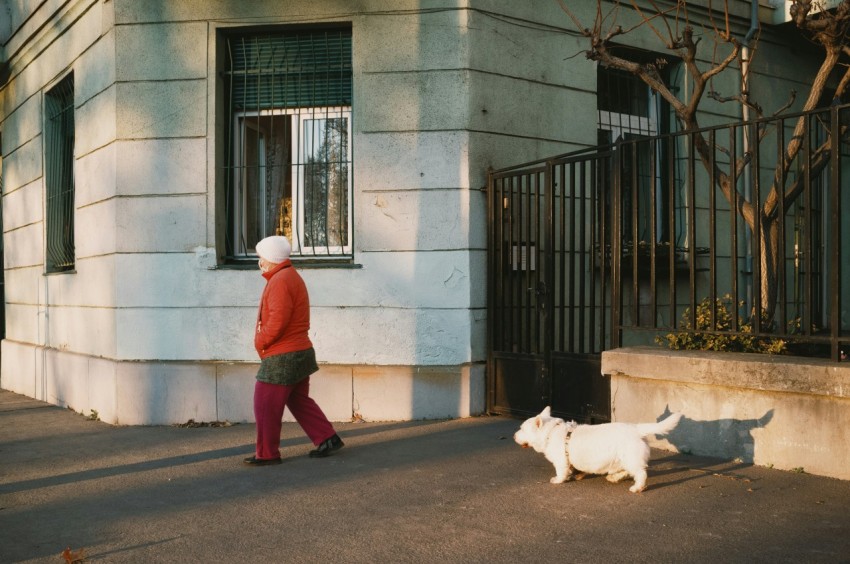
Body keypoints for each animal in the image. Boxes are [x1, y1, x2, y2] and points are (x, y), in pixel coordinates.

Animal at [510, 406, 684, 494]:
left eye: (522, 429)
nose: (513, 436)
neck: (551, 431)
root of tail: (637, 429)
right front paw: (578, 474)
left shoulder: (560, 461)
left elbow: (561, 472)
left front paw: (558, 480)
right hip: (624, 459)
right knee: (627, 471)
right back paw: (614, 477)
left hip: (630, 458)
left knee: (640, 473)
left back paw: (637, 487)